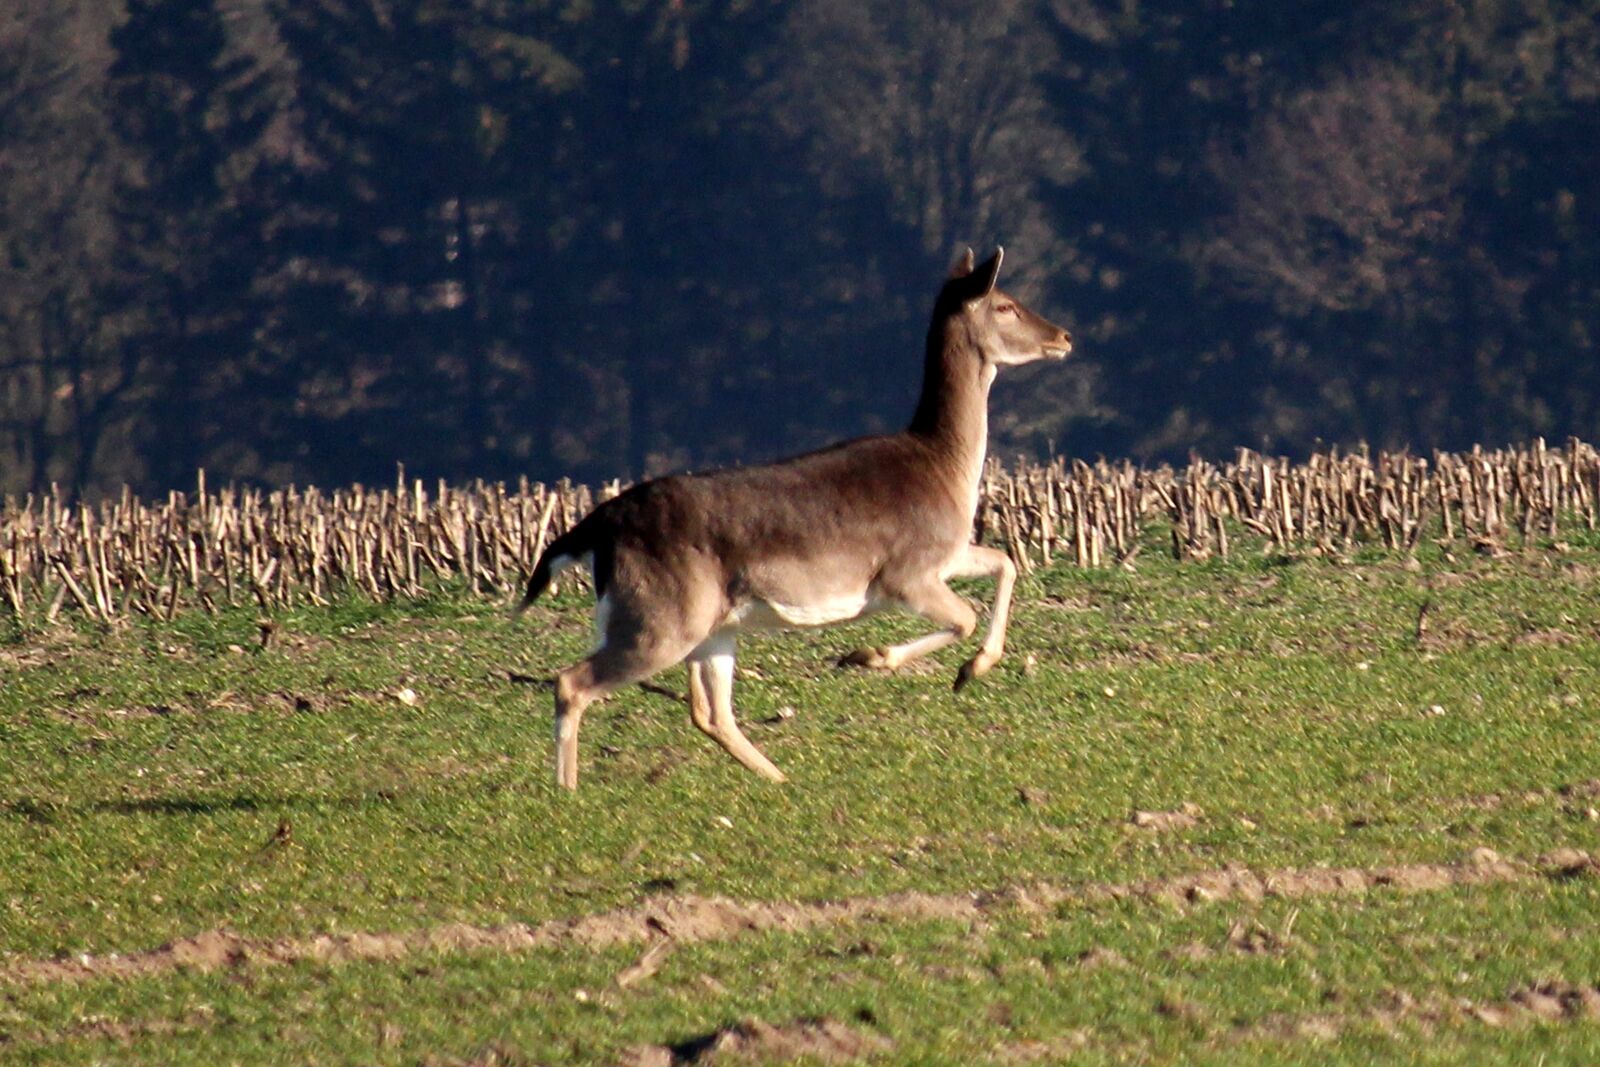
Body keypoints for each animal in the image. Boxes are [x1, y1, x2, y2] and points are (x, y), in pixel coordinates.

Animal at [518, 248, 1073, 790]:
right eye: (1004, 304)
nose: (1063, 336)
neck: (946, 468)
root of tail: (598, 528)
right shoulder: (905, 571)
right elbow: (965, 616)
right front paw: (878, 657)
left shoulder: (950, 554)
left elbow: (1006, 562)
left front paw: (966, 668)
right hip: (660, 616)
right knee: (573, 682)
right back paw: (568, 794)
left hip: (710, 625)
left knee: (710, 712)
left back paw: (782, 781)